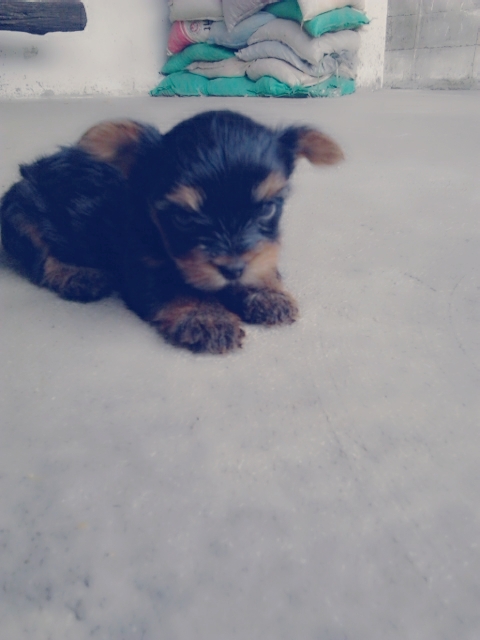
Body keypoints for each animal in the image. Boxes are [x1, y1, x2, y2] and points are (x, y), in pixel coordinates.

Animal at [0, 110, 343, 353]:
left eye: (267, 209)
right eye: (183, 218)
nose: (233, 269)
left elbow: (263, 262)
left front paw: (266, 292)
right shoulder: (141, 265)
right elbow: (179, 289)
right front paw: (208, 317)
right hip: (20, 214)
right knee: (41, 256)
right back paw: (76, 275)